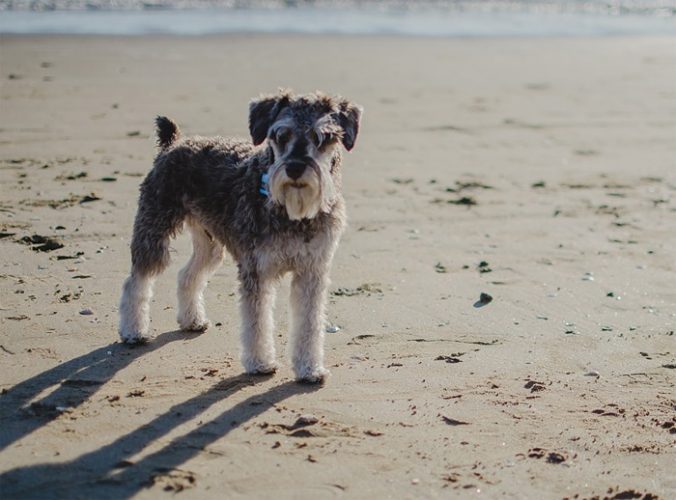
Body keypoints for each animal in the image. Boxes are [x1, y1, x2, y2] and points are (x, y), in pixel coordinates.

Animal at [120, 92, 364, 382]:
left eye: (321, 137)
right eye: (281, 136)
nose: (294, 168)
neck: (292, 212)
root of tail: (173, 144)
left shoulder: (312, 271)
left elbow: (309, 323)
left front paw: (309, 369)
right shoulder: (256, 269)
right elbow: (256, 322)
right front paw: (260, 363)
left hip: (210, 245)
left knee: (187, 275)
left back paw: (192, 320)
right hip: (154, 231)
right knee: (137, 280)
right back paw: (133, 332)